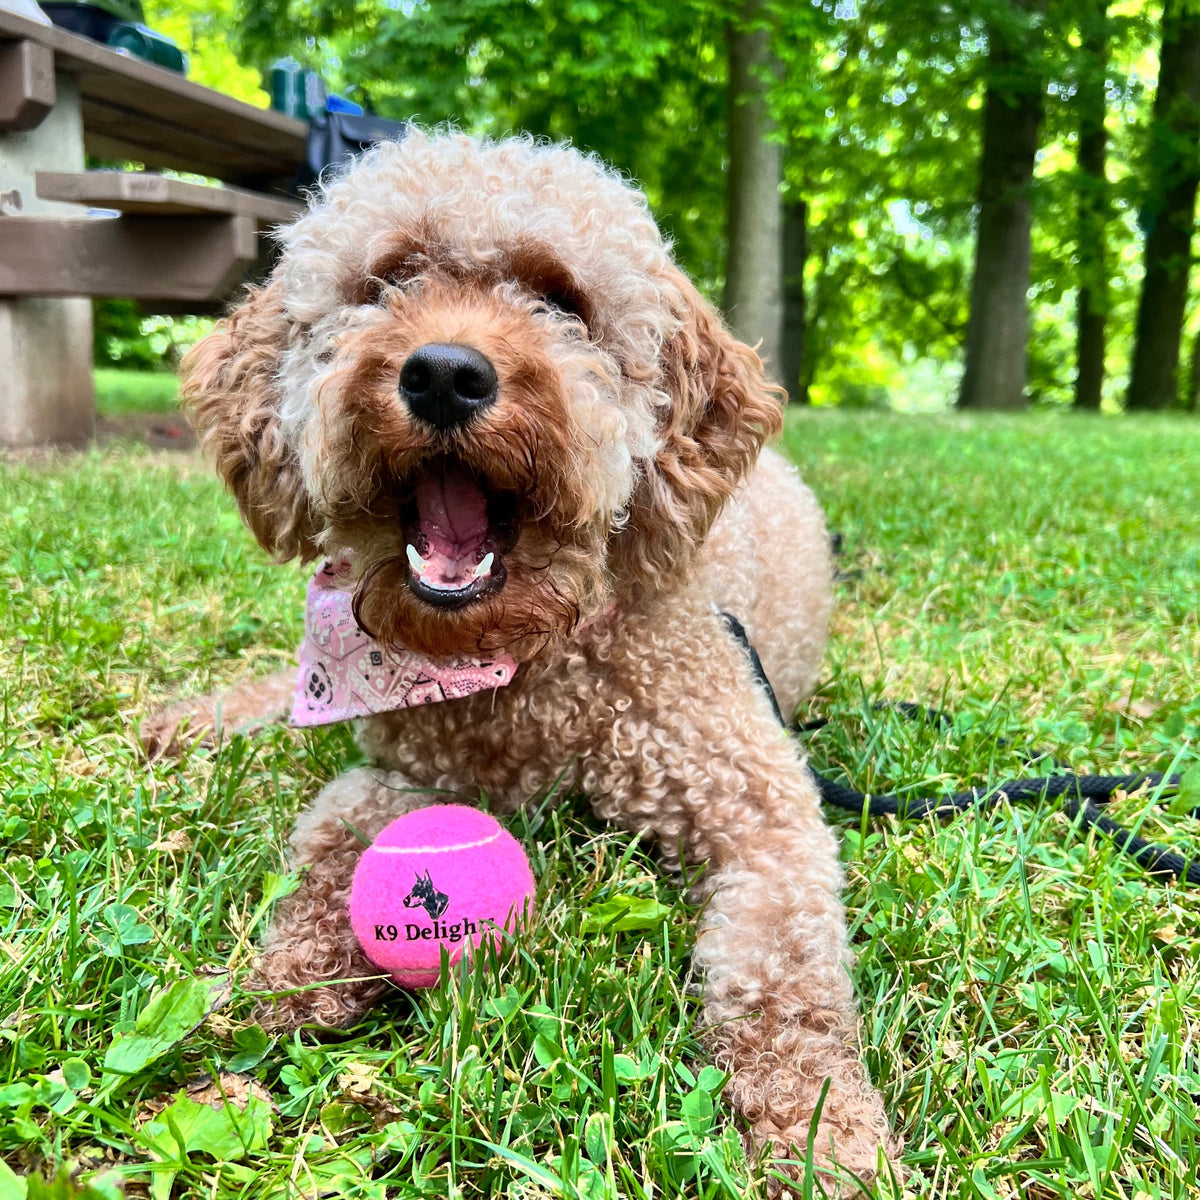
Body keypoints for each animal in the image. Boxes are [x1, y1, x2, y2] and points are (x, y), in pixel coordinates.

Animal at [145, 129, 897, 1190]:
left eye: (561, 299)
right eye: (391, 279)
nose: (444, 373)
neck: (527, 661)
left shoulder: (756, 804)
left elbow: (785, 983)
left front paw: (819, 1129)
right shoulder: (396, 773)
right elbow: (330, 851)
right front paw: (279, 981)